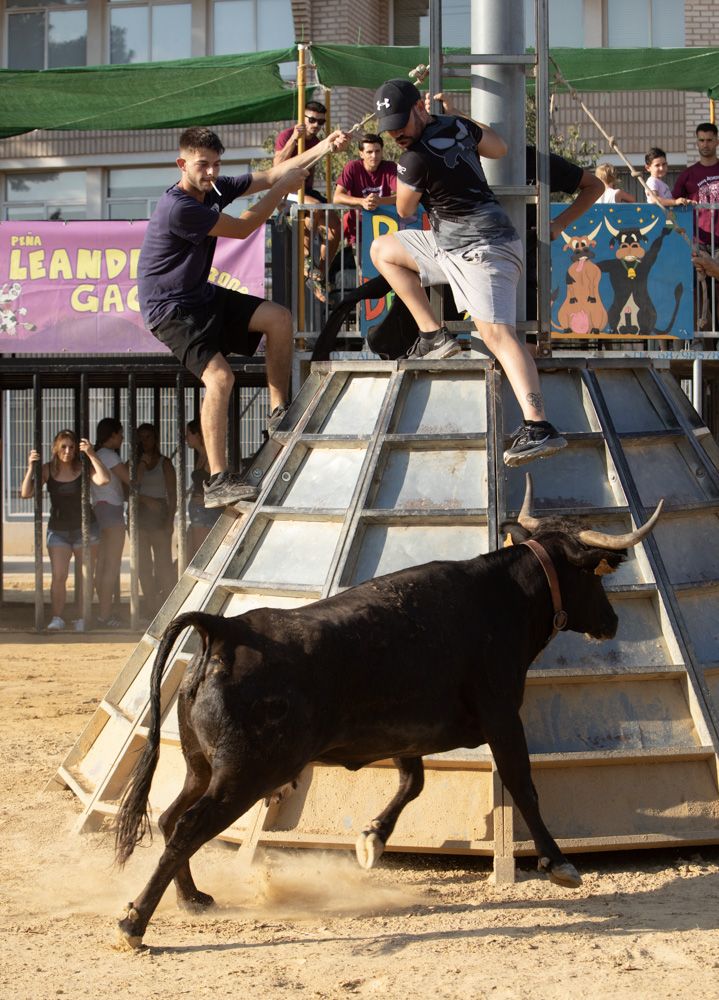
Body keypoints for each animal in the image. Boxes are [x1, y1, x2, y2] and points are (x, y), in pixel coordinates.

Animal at [114, 480, 664, 948]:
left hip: (202, 768)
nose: (612, 621)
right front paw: (559, 863)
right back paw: (135, 922)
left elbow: (412, 784)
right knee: (188, 827)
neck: (501, 598)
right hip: (245, 775)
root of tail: (226, 629)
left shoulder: (409, 735)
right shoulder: (503, 715)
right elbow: (521, 783)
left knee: (171, 818)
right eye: (594, 575)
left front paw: (373, 839)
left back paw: (192, 898)